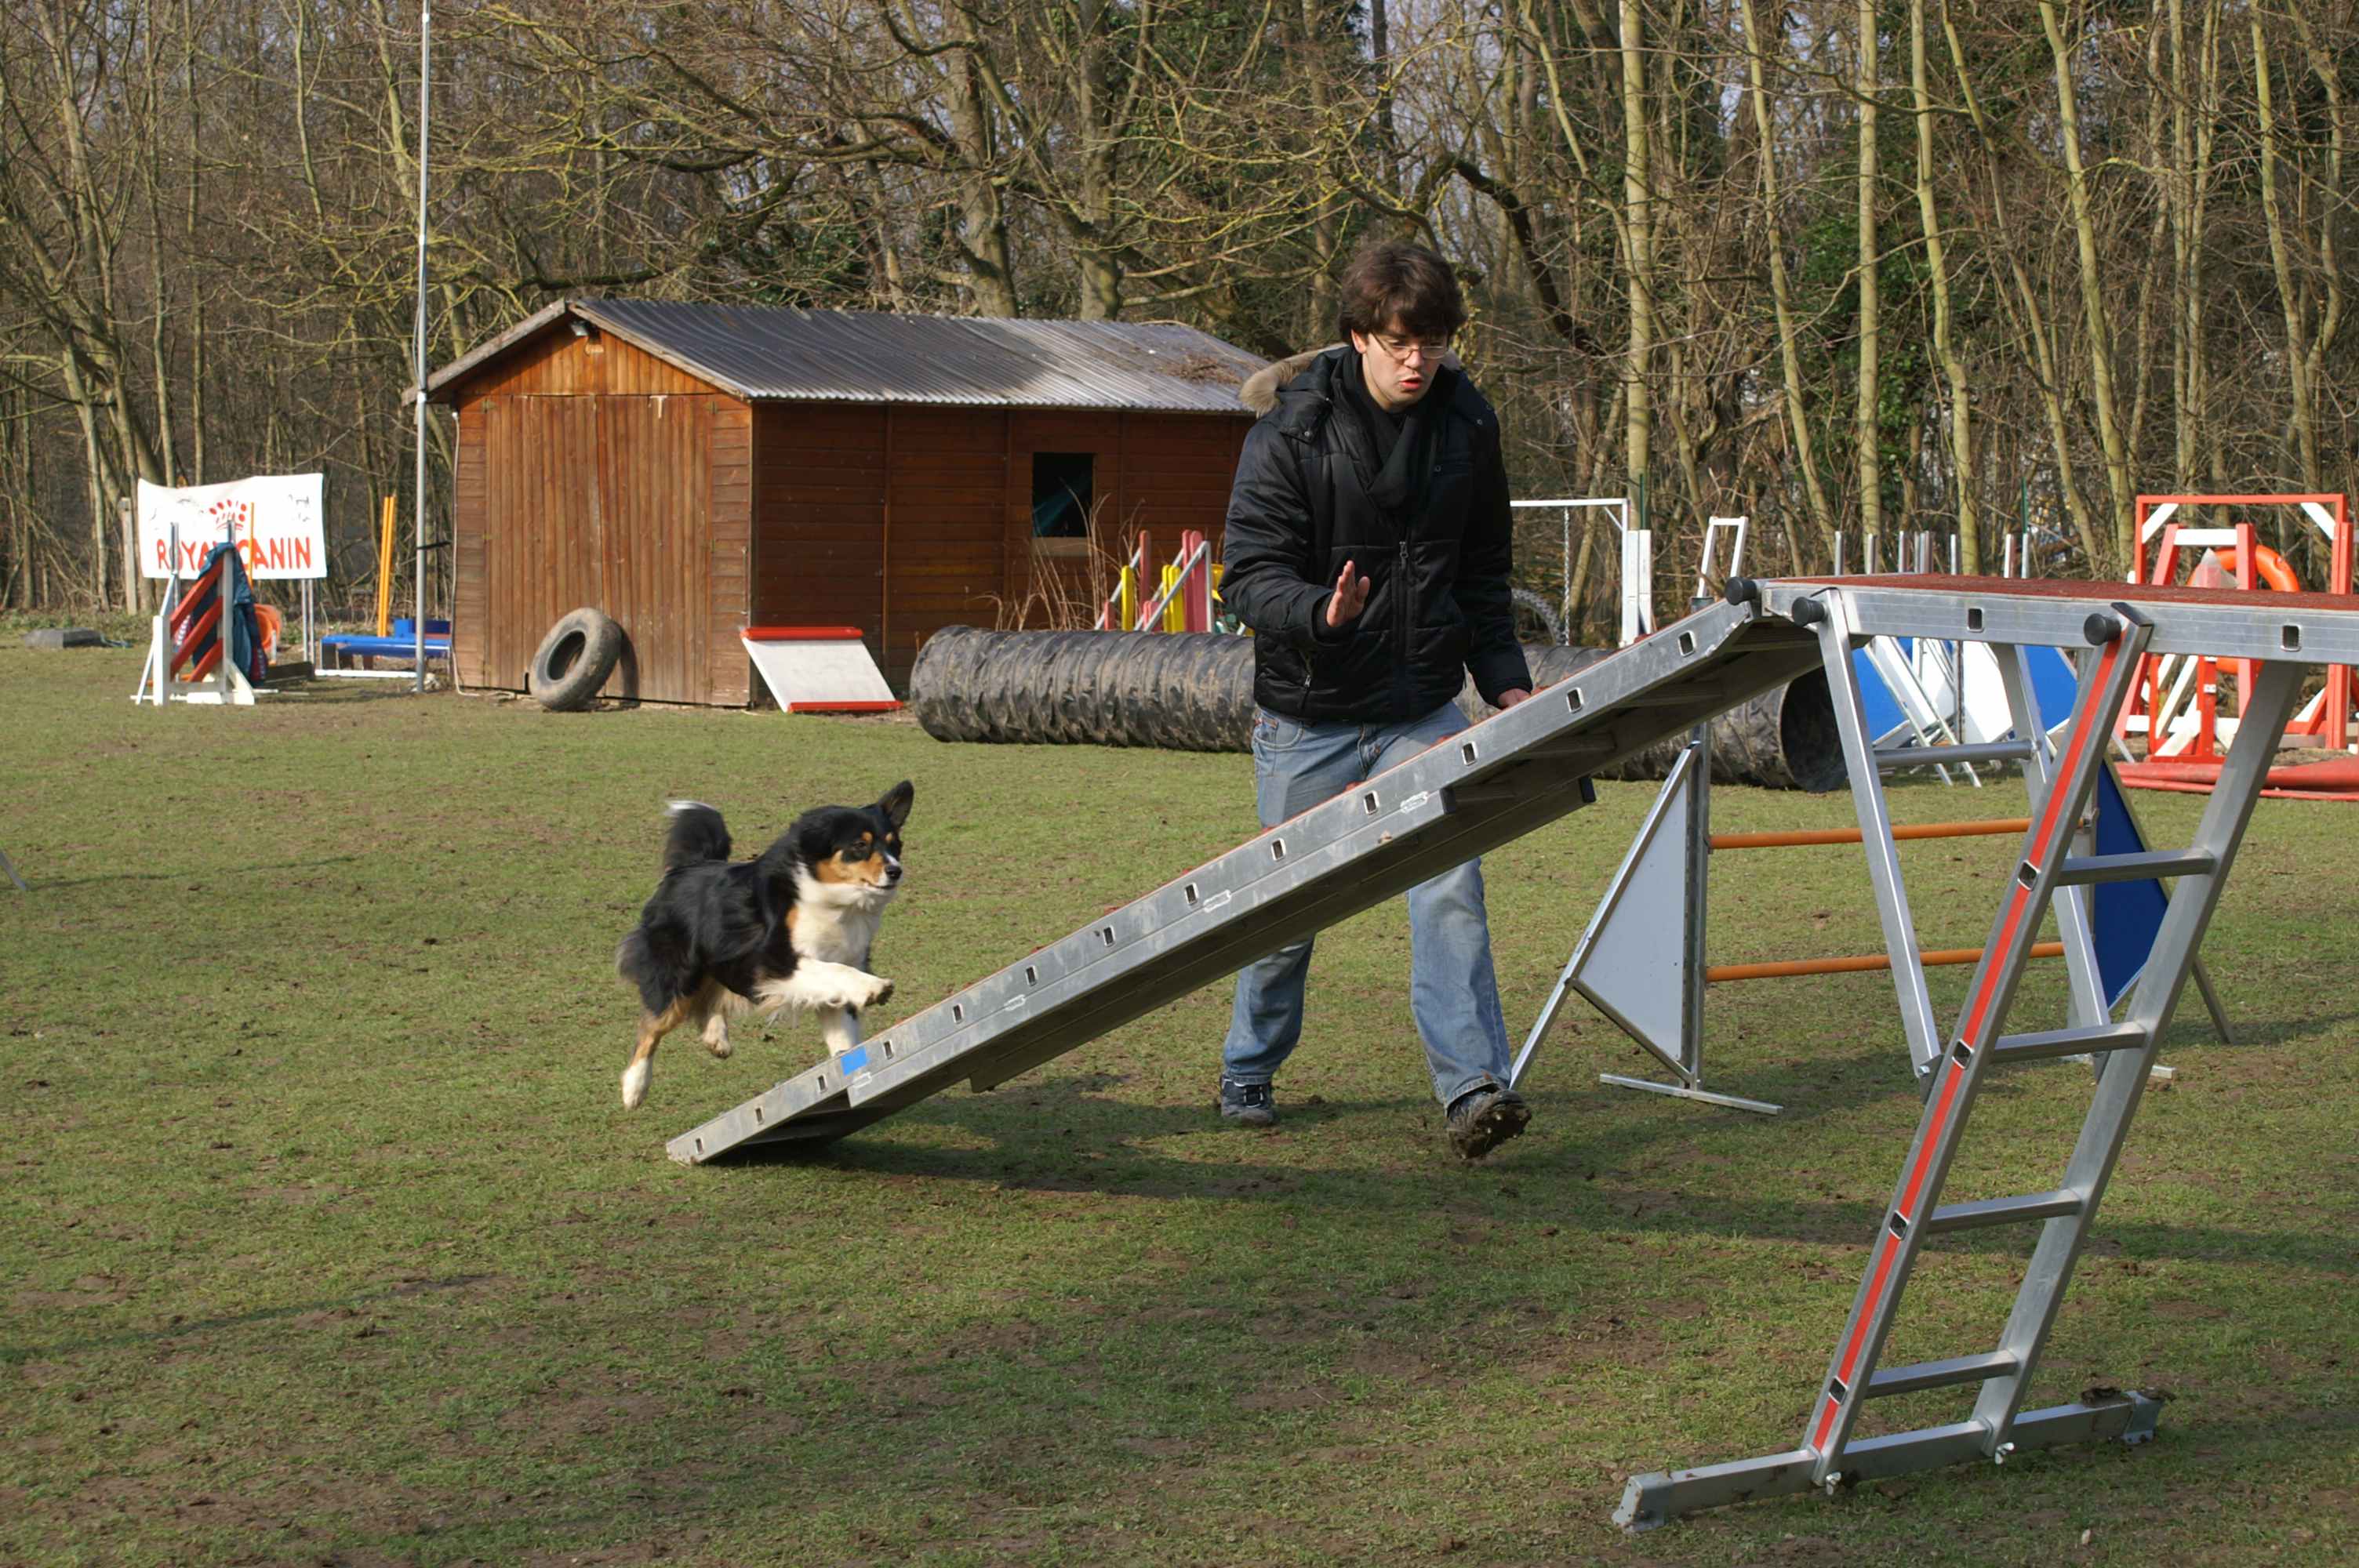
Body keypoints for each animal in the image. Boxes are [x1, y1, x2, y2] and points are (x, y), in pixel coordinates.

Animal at [615, 782, 912, 1109]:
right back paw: (634, 1087)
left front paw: (849, 1072)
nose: (895, 871)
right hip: (677, 975)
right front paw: (874, 988)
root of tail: (688, 867)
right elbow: (833, 970)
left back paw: (716, 1037)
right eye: (860, 845)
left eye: (894, 845)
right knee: (651, 1027)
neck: (835, 901)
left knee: (709, 996)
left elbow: (842, 1035)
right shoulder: (772, 960)